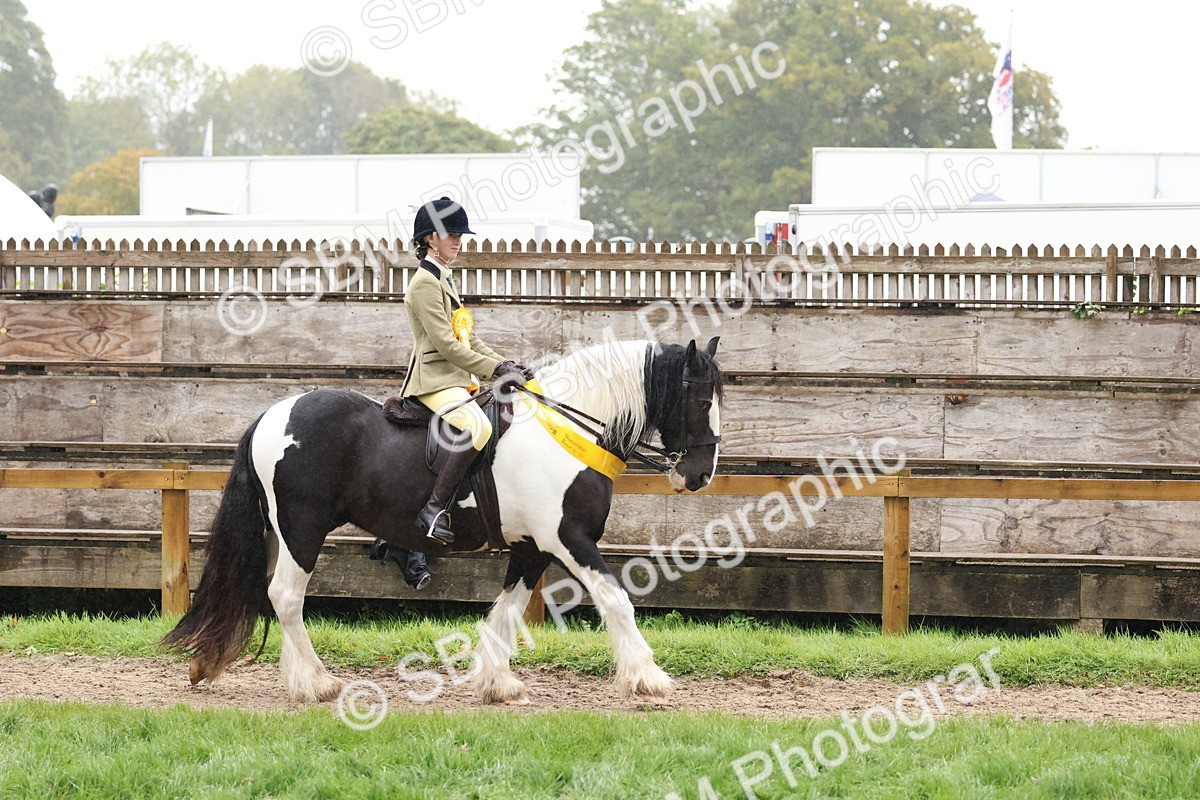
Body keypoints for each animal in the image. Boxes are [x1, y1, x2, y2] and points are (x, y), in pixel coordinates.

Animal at [163, 337, 723, 704]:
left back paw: (294, 680)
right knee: (285, 596)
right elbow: (616, 599)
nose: (700, 475)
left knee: (279, 595)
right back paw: (319, 683)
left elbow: (508, 610)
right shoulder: (568, 539)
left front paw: (496, 682)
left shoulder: (532, 547)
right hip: (304, 530)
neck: (566, 429)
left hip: (287, 533)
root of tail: (271, 415)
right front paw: (648, 677)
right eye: (701, 399)